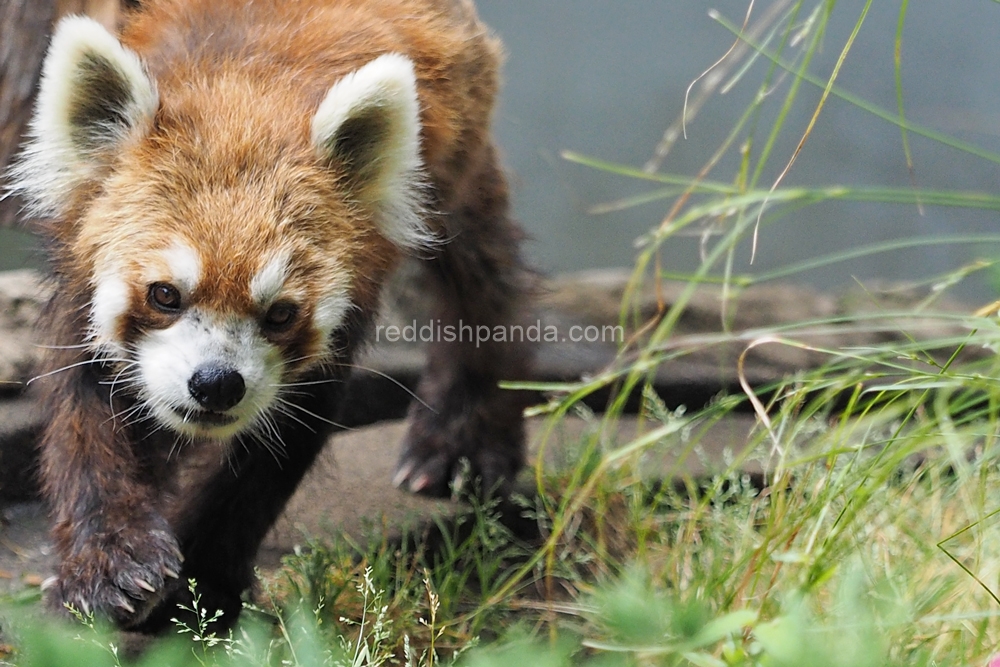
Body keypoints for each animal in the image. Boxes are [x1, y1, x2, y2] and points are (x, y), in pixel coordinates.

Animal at [7, 0, 536, 632]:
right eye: (164, 295)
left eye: (281, 314)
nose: (216, 383)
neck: (244, 85)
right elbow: (85, 408)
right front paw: (108, 565)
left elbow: (278, 443)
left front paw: (200, 584)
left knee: (480, 267)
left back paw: (463, 443)